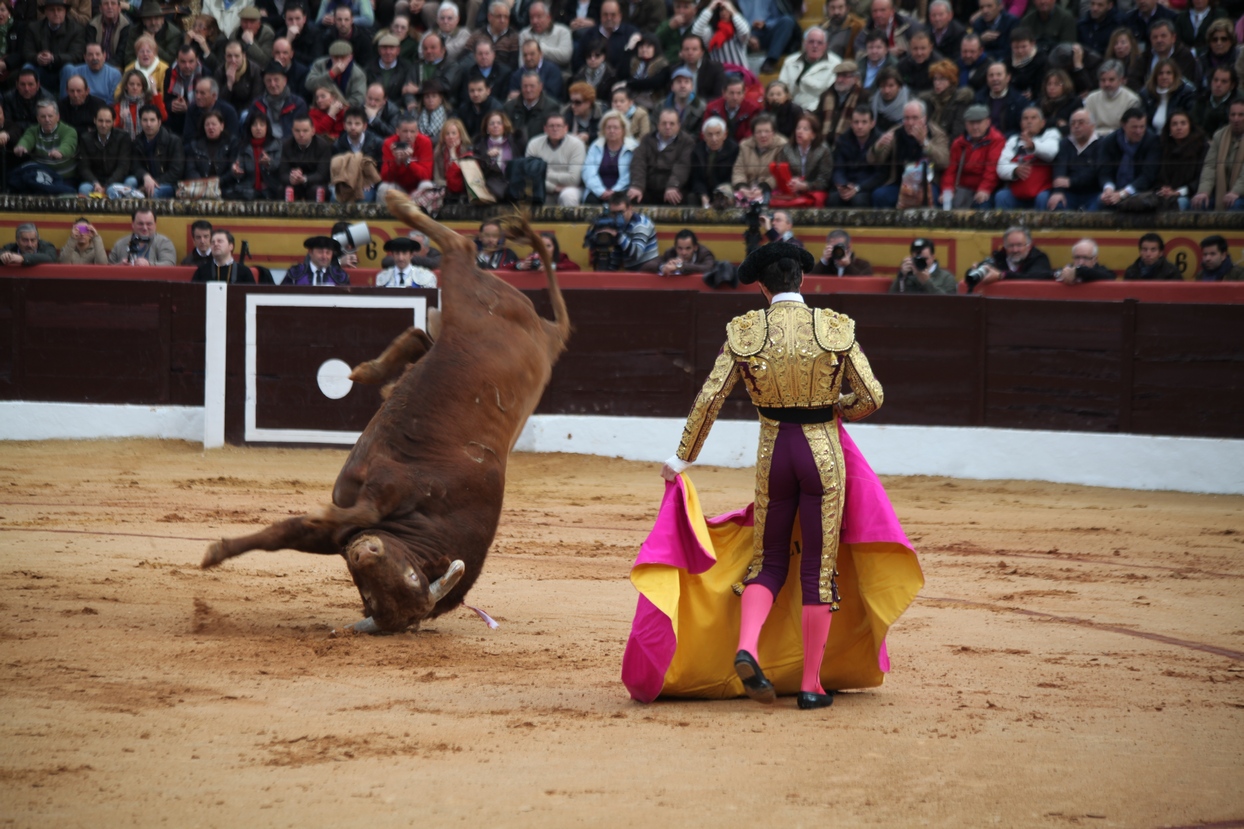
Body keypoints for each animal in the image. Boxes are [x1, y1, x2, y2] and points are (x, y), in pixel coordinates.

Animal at [201, 191, 569, 632]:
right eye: (409, 576)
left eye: (381, 596)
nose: (364, 552)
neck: (428, 522)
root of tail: (550, 336)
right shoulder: (387, 487)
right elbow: (321, 519)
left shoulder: (340, 531)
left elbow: (290, 531)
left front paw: (216, 552)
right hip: (470, 300)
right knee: (459, 250)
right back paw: (397, 205)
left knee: (423, 332)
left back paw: (376, 371)